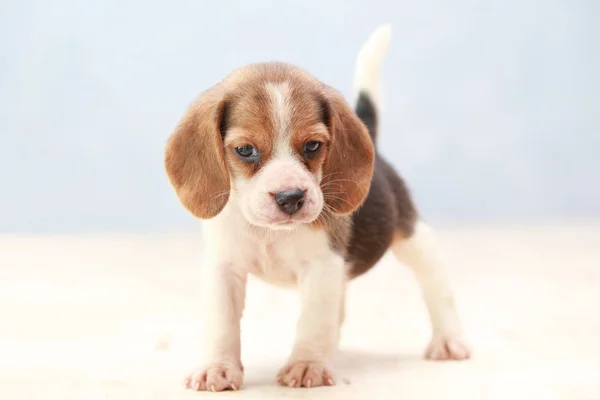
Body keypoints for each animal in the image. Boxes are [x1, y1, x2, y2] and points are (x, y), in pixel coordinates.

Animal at [166, 26, 472, 392]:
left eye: (313, 146)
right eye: (245, 150)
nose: (291, 197)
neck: (269, 233)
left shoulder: (322, 266)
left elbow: (313, 320)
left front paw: (306, 363)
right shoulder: (223, 268)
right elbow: (221, 324)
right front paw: (218, 367)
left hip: (413, 239)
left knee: (437, 289)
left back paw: (449, 340)